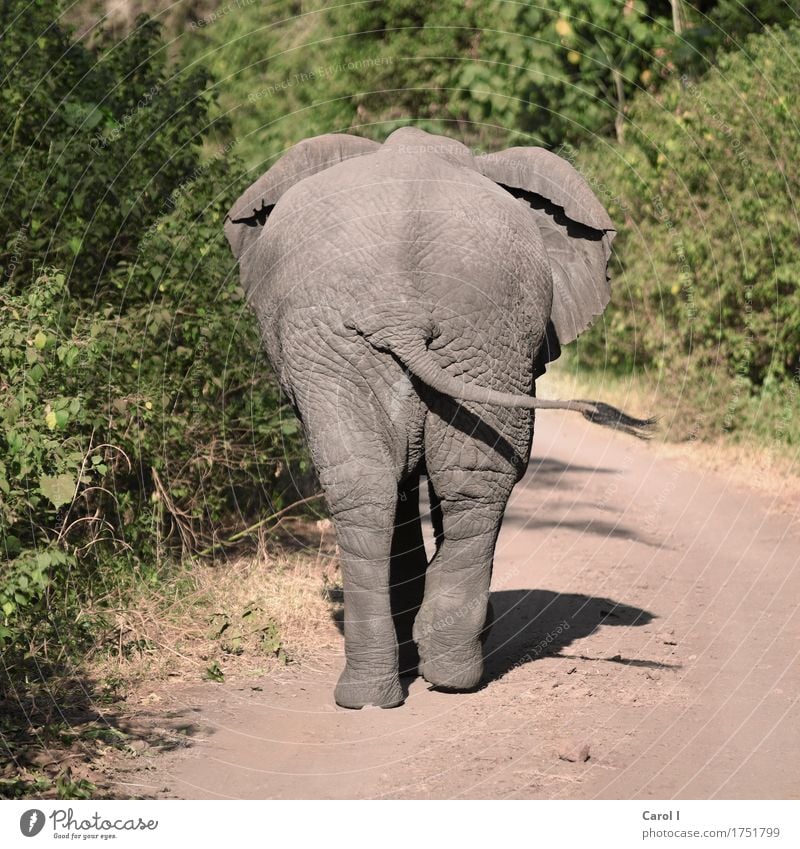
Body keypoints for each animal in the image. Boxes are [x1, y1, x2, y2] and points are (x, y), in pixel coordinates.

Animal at [222, 127, 652, 708]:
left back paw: (411, 680)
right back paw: (421, 679)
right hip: (425, 340)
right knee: (426, 481)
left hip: (455, 339)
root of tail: (401, 314)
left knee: (412, 482)